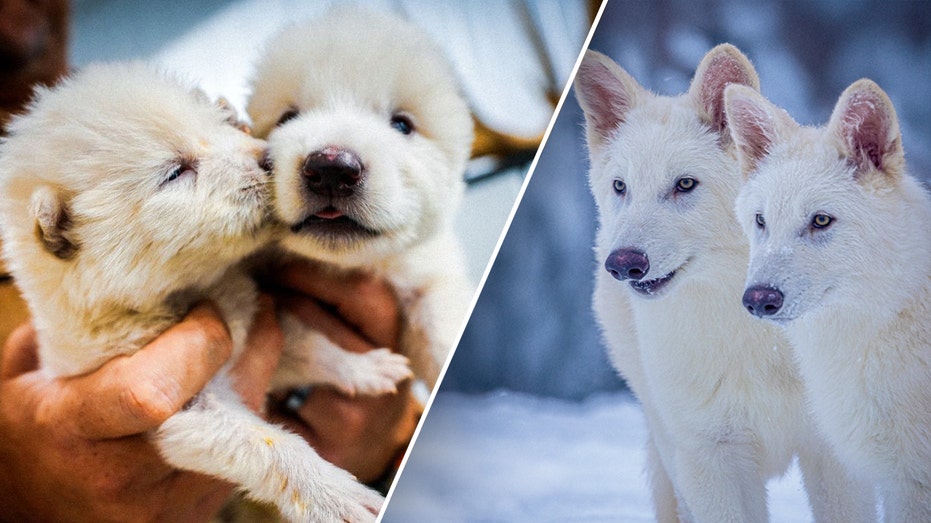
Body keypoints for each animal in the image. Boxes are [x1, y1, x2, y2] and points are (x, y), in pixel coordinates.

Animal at [574, 45, 874, 522]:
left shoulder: (833, 454)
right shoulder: (709, 459)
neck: (753, 338)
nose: (623, 264)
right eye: (621, 186)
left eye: (684, 184)